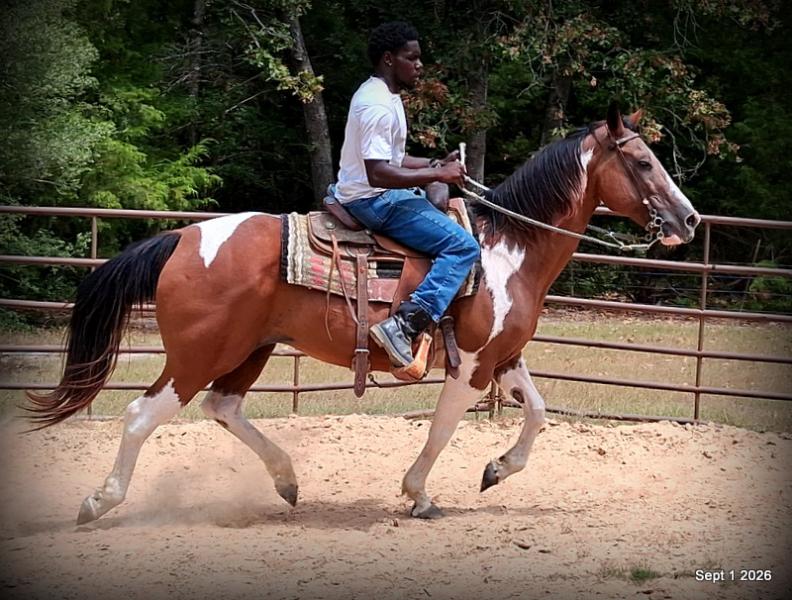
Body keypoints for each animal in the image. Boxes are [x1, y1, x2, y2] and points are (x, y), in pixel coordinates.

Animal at [27, 105, 700, 523]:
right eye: (643, 162)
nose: (689, 219)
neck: (507, 249)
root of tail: (183, 239)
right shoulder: (470, 366)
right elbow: (441, 430)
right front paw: (419, 495)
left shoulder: (503, 358)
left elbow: (537, 412)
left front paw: (496, 470)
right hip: (198, 354)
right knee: (143, 415)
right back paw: (99, 502)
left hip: (250, 349)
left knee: (224, 407)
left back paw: (286, 479)